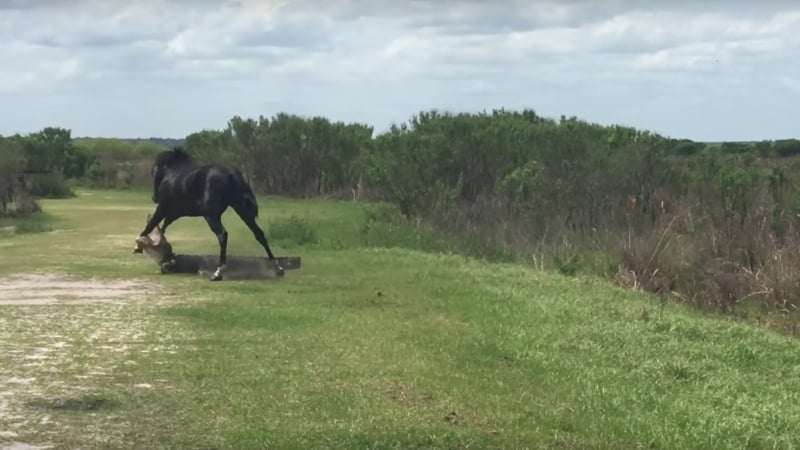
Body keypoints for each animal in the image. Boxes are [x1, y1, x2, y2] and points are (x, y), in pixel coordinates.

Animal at [130, 148, 282, 282]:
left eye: (154, 171)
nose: (154, 197)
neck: (173, 175)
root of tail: (231, 175)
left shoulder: (162, 209)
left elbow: (150, 226)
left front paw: (139, 246)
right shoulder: (174, 214)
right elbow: (162, 228)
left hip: (211, 215)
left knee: (222, 235)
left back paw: (218, 273)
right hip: (242, 211)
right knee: (259, 234)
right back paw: (278, 268)